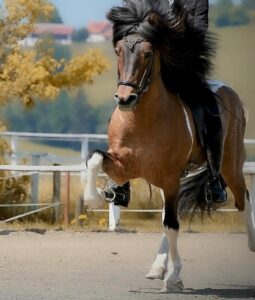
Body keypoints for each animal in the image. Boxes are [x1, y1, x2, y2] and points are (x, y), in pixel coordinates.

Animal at [84, 0, 255, 292]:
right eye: (118, 51)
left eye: (148, 54)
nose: (125, 99)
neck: (143, 118)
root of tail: (230, 92)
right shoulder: (124, 165)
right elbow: (95, 158)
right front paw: (98, 196)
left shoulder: (170, 176)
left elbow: (172, 225)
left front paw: (174, 277)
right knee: (172, 212)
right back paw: (156, 267)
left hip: (229, 166)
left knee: (243, 198)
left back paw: (252, 244)